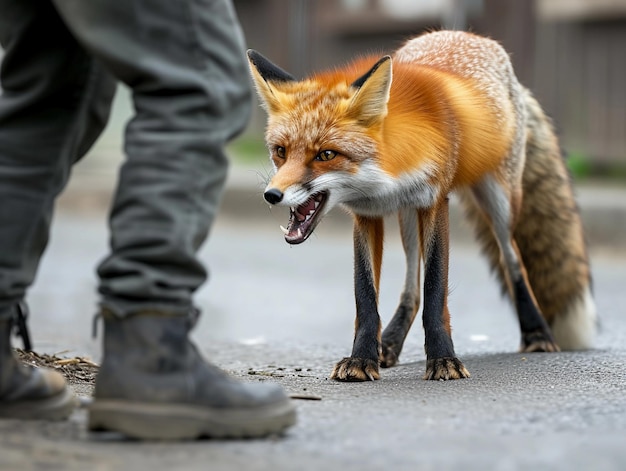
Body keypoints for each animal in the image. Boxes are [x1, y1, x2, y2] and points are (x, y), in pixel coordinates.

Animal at [246, 29, 596, 382]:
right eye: (280, 151)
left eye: (326, 154)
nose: (272, 195)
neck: (385, 177)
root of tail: (468, 35)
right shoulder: (367, 215)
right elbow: (366, 297)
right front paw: (362, 358)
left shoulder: (435, 203)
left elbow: (435, 291)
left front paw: (443, 359)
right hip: (406, 216)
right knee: (410, 290)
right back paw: (389, 344)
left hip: (499, 201)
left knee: (513, 261)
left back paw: (537, 333)